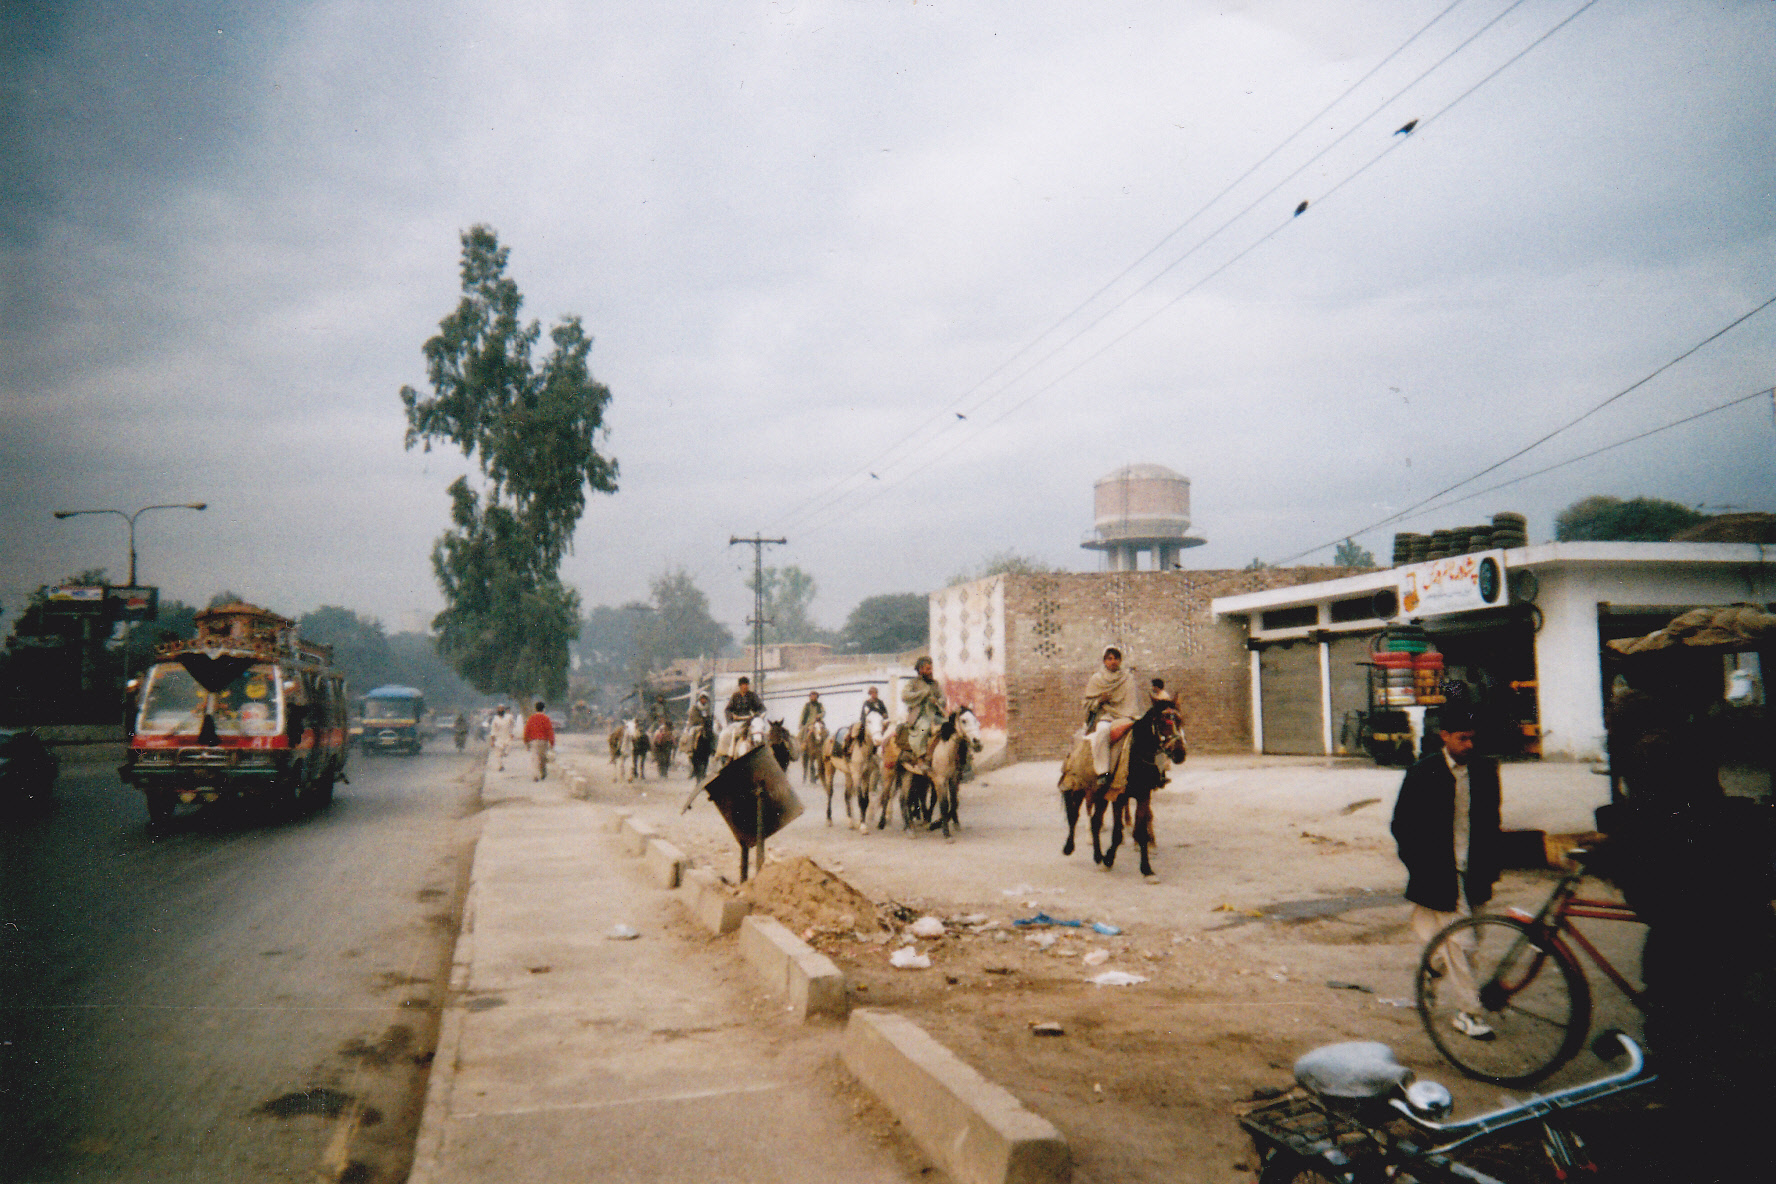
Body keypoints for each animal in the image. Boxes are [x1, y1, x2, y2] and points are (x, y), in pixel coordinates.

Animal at [1058, 702, 1186, 880]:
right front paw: (1109, 860)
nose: (1180, 754)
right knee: (1074, 816)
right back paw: (1069, 848)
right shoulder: (1119, 796)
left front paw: (1147, 869)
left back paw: (1098, 857)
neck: (1136, 754)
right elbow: (1117, 833)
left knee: (1095, 821)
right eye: (1163, 723)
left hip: (1100, 796)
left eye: (1180, 721)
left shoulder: (1143, 796)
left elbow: (1141, 831)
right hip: (1080, 788)